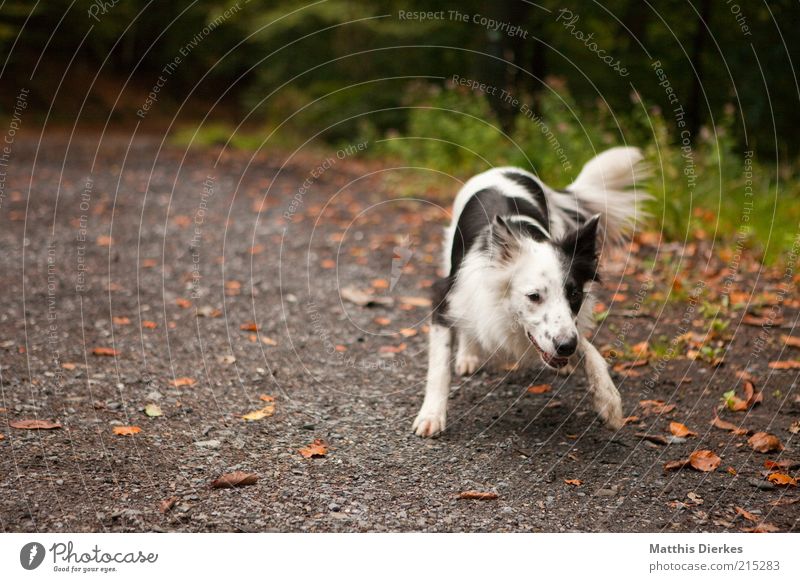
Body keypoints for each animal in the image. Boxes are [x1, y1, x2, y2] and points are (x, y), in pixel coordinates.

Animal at [412, 148, 648, 440]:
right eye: (534, 296)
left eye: (574, 294)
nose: (566, 347)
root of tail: (506, 169)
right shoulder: (445, 297)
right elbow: (439, 366)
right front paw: (431, 415)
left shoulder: (570, 325)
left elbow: (588, 347)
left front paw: (608, 399)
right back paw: (467, 354)